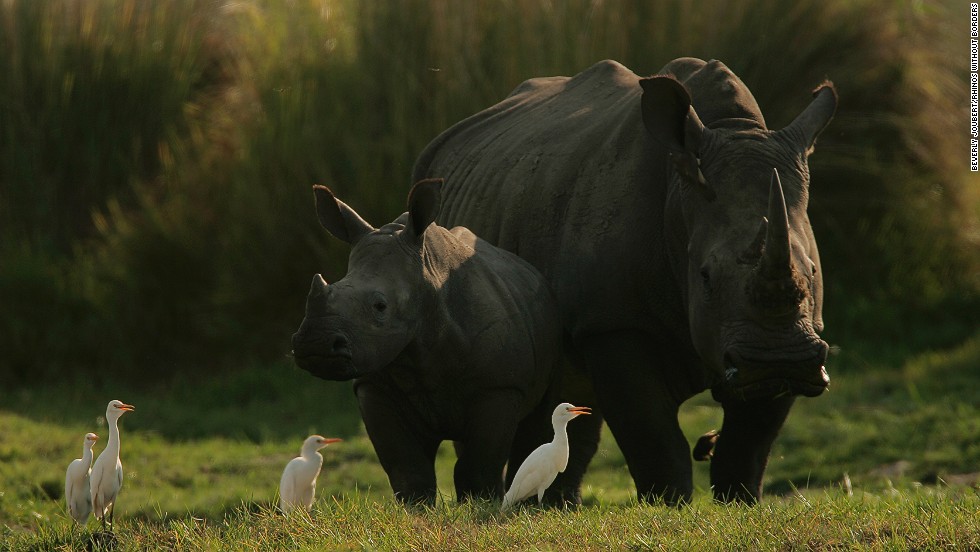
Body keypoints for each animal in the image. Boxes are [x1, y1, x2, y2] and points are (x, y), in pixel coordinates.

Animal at [290, 179, 560, 502]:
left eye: (380, 306)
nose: (314, 344)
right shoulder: (374, 386)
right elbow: (408, 469)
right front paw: (419, 508)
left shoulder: (500, 387)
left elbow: (479, 467)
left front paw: (483, 503)